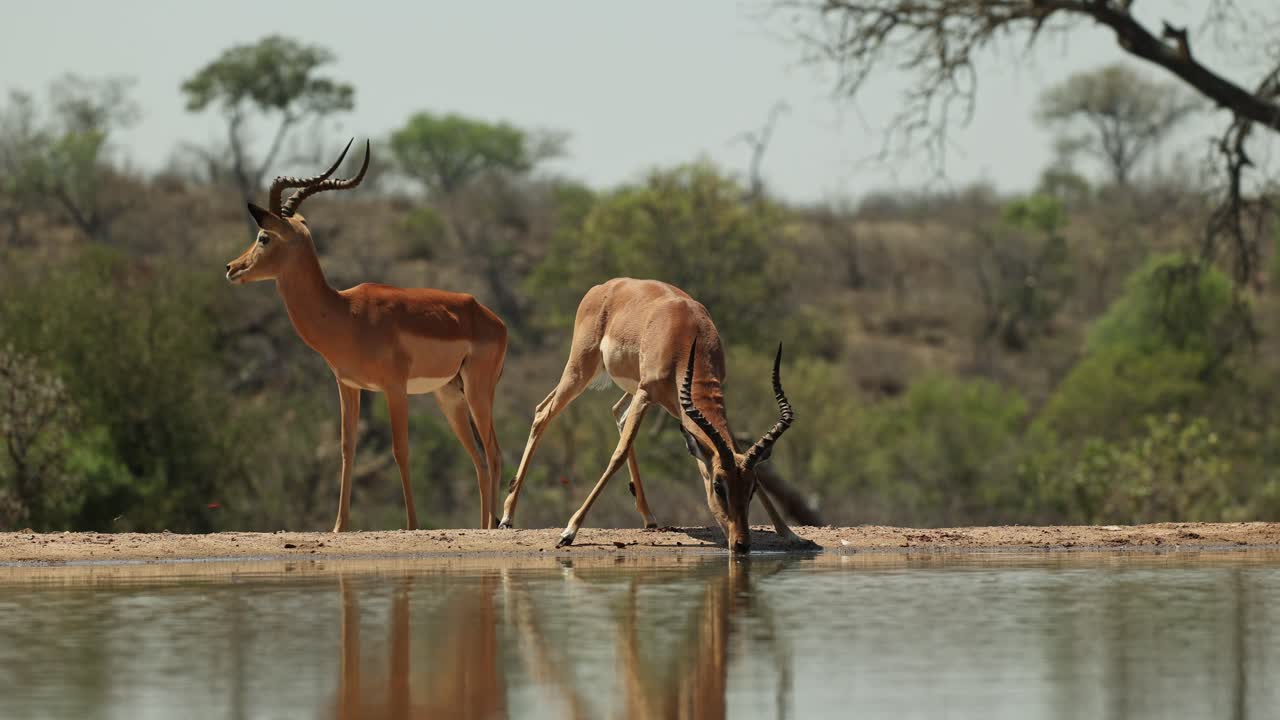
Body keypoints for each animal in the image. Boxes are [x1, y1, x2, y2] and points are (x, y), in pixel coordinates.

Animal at [224, 139, 508, 531]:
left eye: (263, 237)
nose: (231, 268)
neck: (346, 313)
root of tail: (492, 319)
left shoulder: (394, 387)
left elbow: (400, 450)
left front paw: (412, 525)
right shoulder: (349, 386)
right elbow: (347, 448)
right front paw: (339, 525)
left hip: (479, 391)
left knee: (494, 453)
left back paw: (494, 525)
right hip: (450, 396)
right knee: (479, 458)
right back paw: (482, 526)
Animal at [498, 278, 813, 553]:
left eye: (752, 487)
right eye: (718, 486)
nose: (741, 544)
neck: (686, 332)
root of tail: (602, 287)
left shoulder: (678, 406)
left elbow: (727, 451)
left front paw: (791, 534)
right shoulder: (646, 392)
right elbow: (618, 454)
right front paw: (569, 532)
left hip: (639, 393)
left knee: (616, 413)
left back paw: (650, 518)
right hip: (581, 370)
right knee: (543, 413)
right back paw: (507, 518)